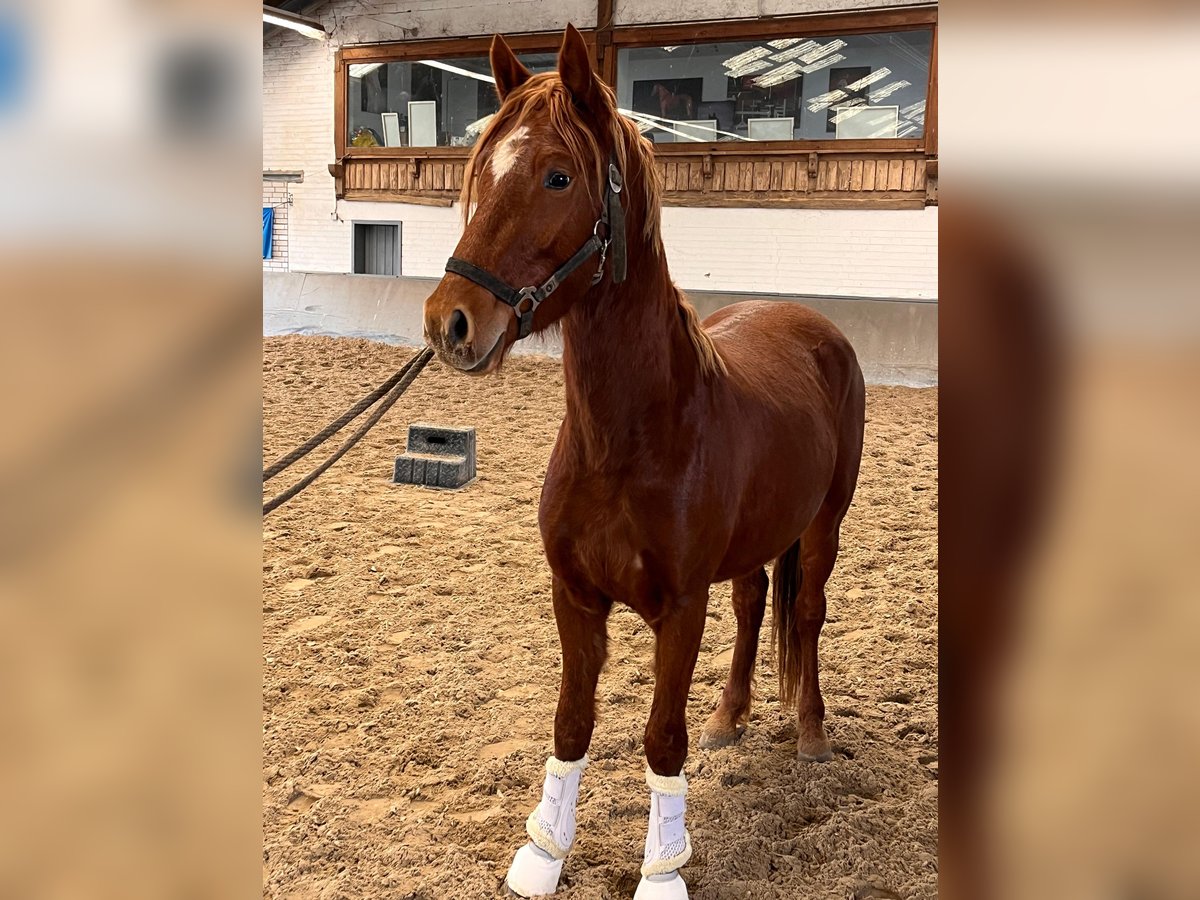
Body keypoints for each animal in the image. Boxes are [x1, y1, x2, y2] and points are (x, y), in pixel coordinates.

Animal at [422, 24, 864, 897]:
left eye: (558, 176)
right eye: (482, 171)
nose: (450, 322)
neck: (625, 444)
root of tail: (810, 324)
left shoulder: (679, 609)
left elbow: (662, 737)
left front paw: (662, 869)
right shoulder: (574, 597)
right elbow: (571, 723)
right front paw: (543, 853)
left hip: (825, 526)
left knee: (804, 613)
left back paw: (810, 734)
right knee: (754, 606)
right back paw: (729, 717)